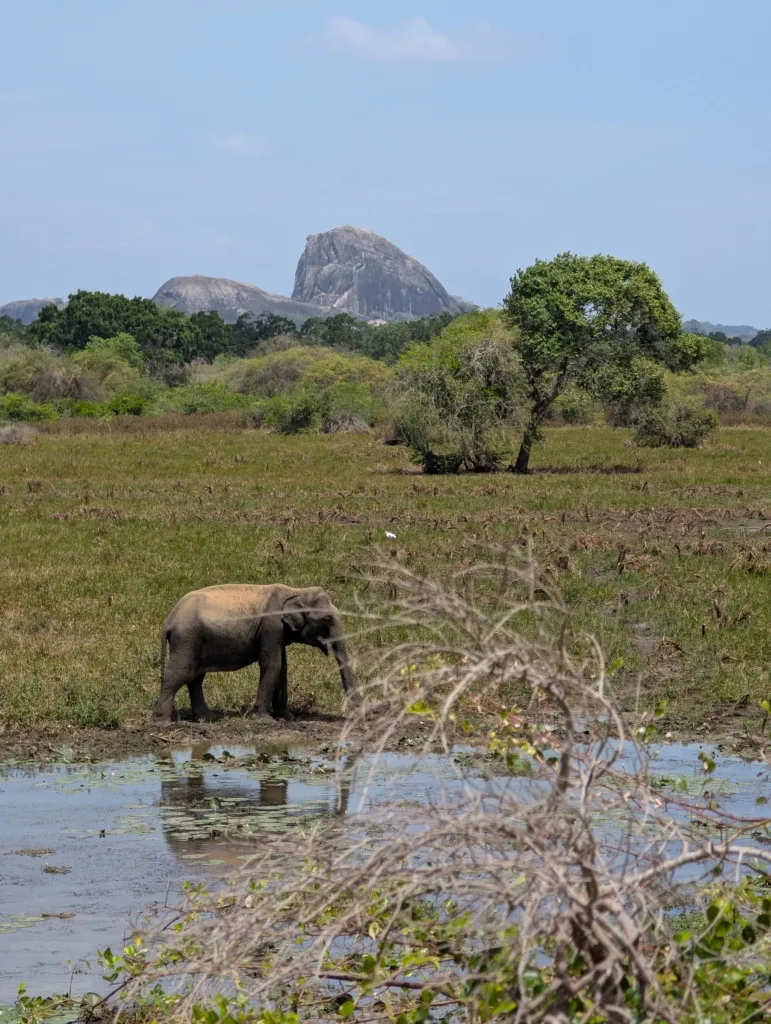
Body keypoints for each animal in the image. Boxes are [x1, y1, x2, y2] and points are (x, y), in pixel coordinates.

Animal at [153, 584, 359, 725]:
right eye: (327, 619)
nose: (358, 713)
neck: (294, 591)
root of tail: (168, 620)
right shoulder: (271, 627)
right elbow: (272, 665)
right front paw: (265, 720)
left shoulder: (278, 632)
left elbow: (282, 668)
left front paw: (287, 717)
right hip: (186, 639)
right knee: (178, 675)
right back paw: (163, 722)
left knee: (195, 678)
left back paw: (208, 718)